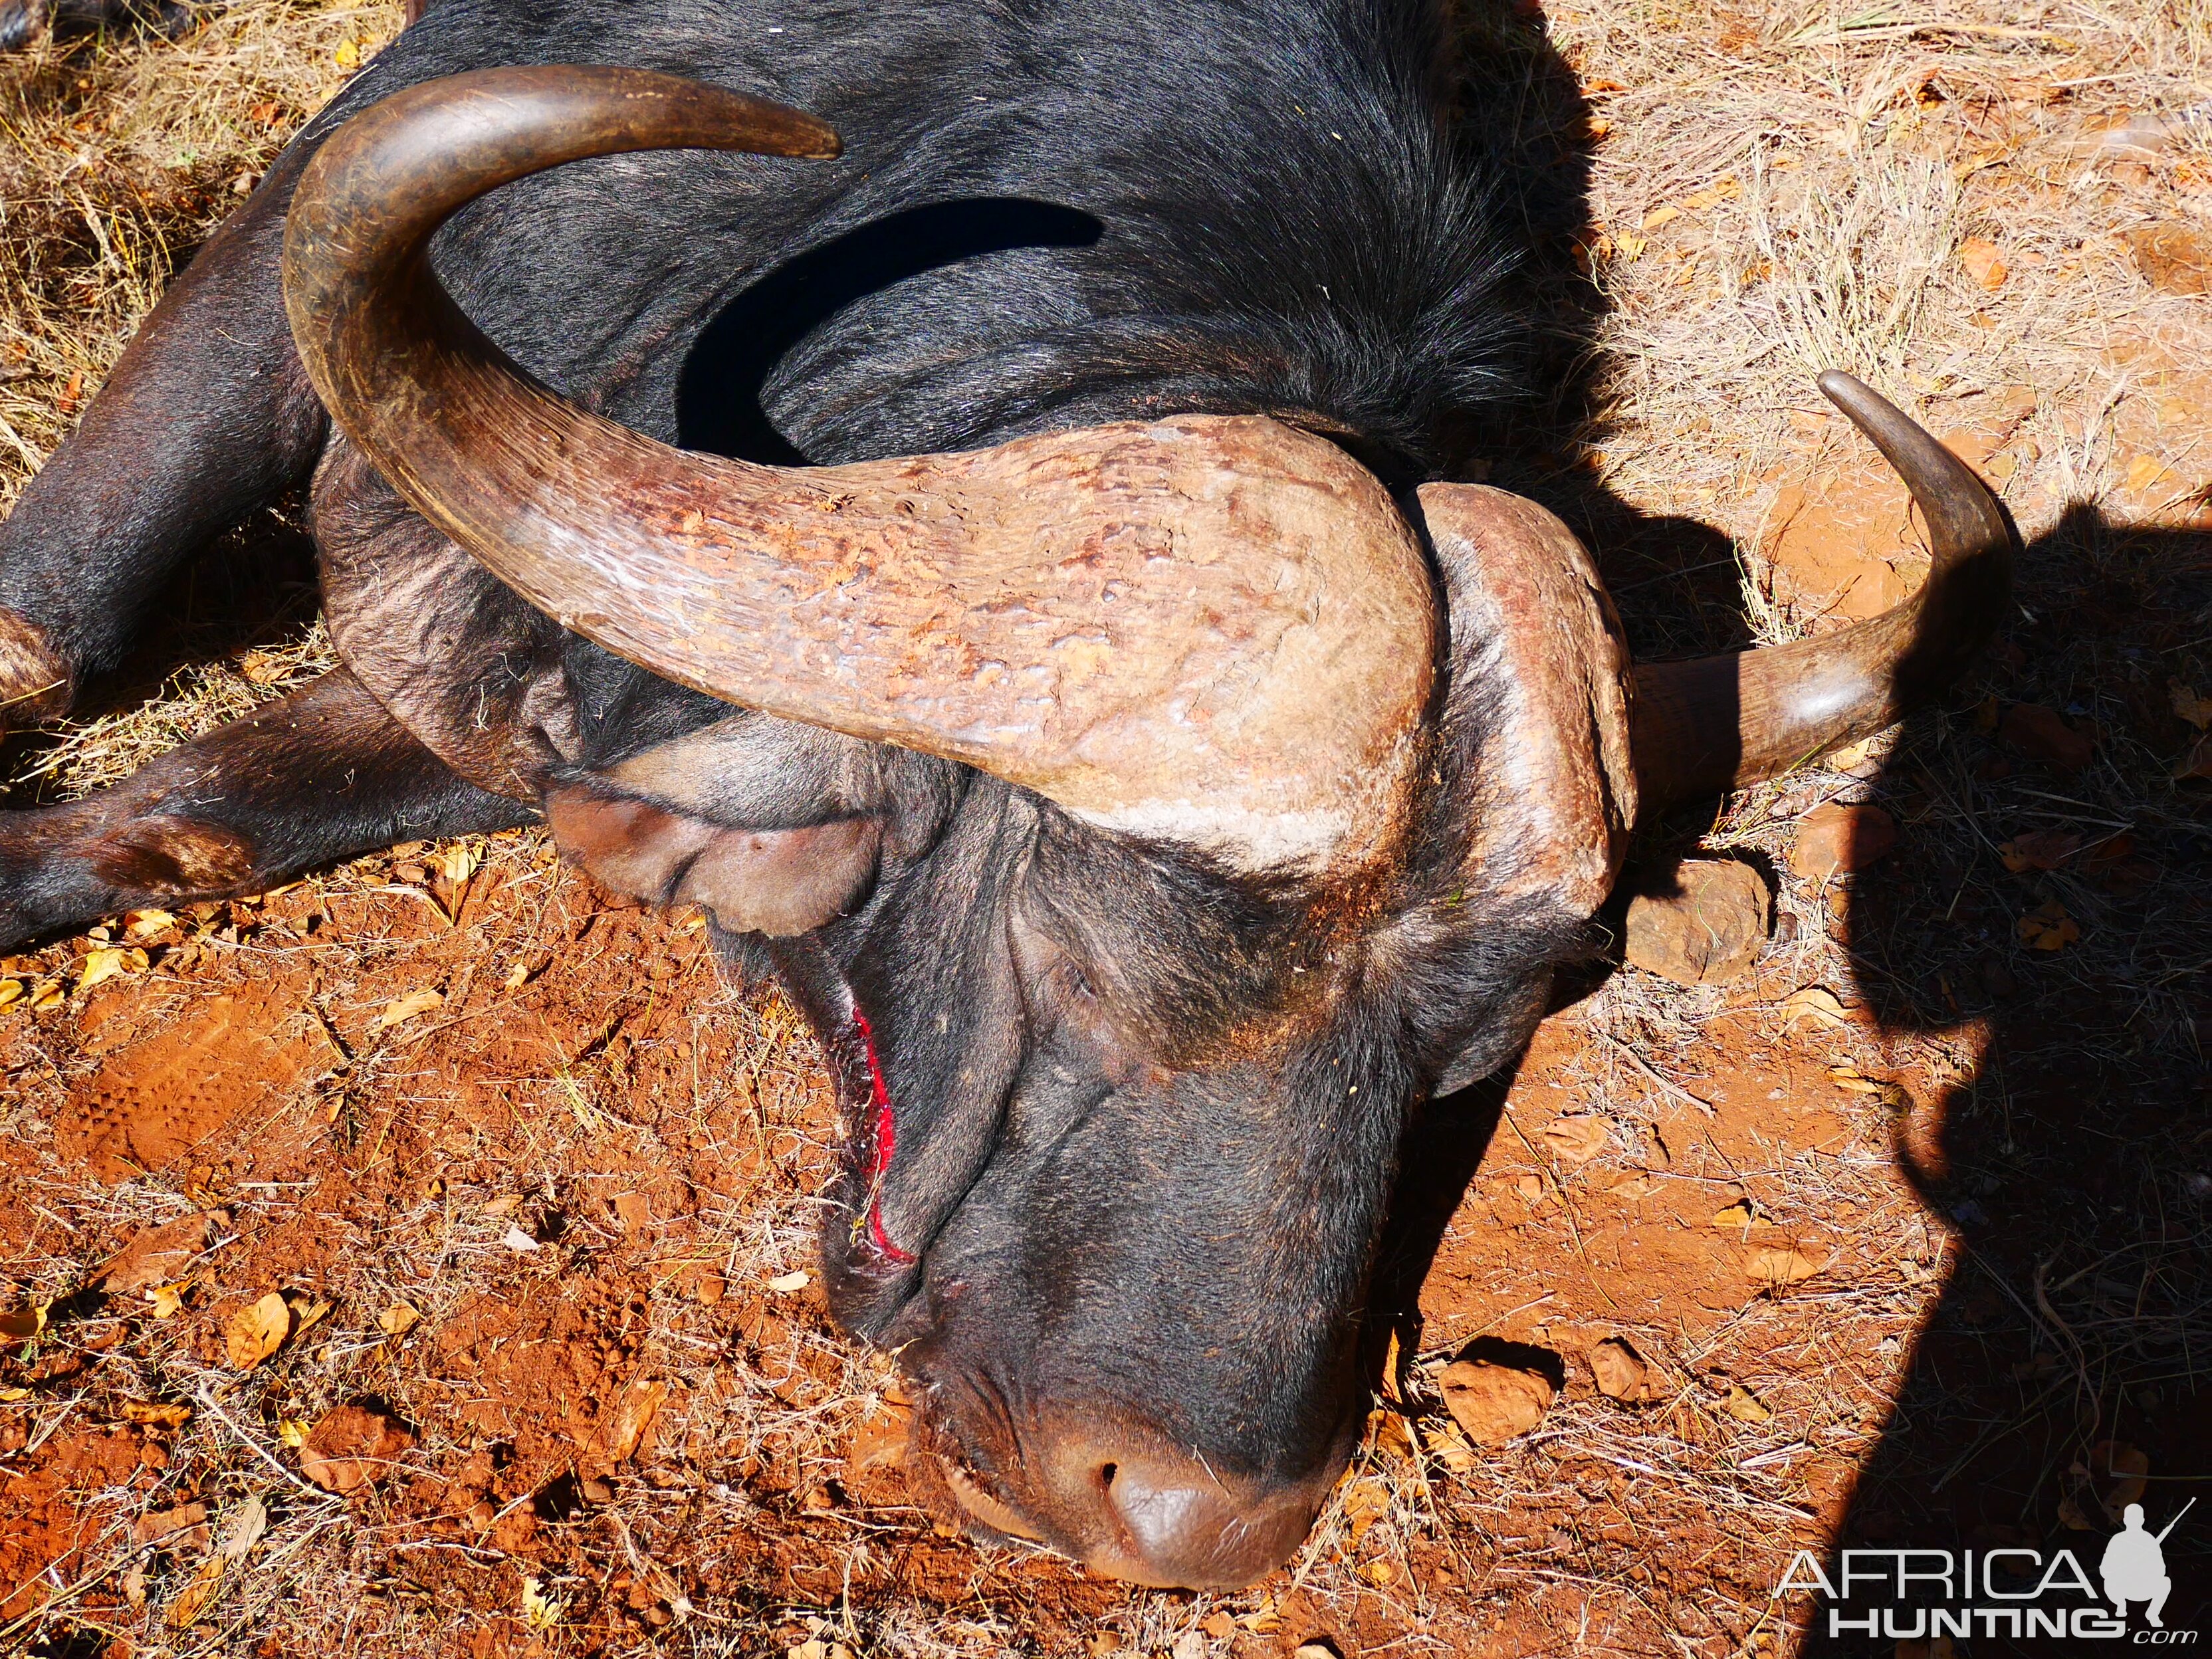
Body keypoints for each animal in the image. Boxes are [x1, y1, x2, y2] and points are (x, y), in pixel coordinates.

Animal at [0, 0, 2017, 1593]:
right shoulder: (311, 210)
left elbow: (188, 815)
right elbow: (57, 631)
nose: (1191, 1522)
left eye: (1478, 1037)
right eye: (1084, 941)